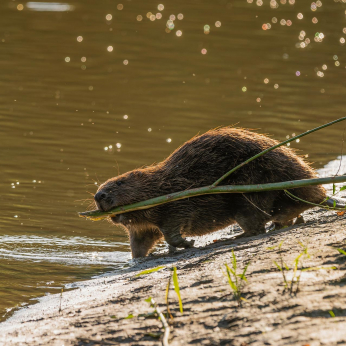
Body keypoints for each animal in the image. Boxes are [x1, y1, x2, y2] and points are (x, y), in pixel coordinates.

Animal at [93, 127, 340, 256]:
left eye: (120, 183)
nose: (98, 196)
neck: (164, 185)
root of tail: (322, 194)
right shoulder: (143, 227)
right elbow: (140, 244)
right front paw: (139, 259)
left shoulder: (178, 204)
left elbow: (172, 230)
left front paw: (187, 244)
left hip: (248, 195)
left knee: (255, 227)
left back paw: (227, 238)